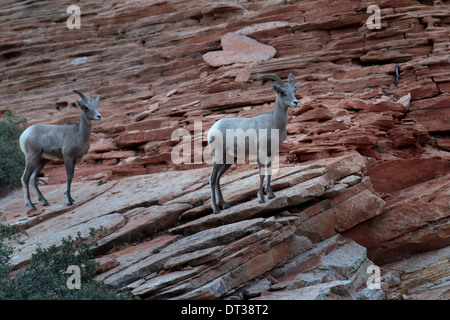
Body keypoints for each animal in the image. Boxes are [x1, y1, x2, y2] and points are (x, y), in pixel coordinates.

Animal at [208, 74, 300, 214]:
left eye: (294, 91)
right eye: (282, 92)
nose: (295, 102)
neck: (273, 124)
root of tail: (212, 129)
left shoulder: (271, 152)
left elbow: (269, 171)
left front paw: (270, 194)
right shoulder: (261, 152)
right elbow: (261, 174)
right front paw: (261, 198)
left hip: (229, 159)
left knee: (218, 178)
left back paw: (225, 205)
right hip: (218, 156)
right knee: (212, 179)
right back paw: (216, 209)